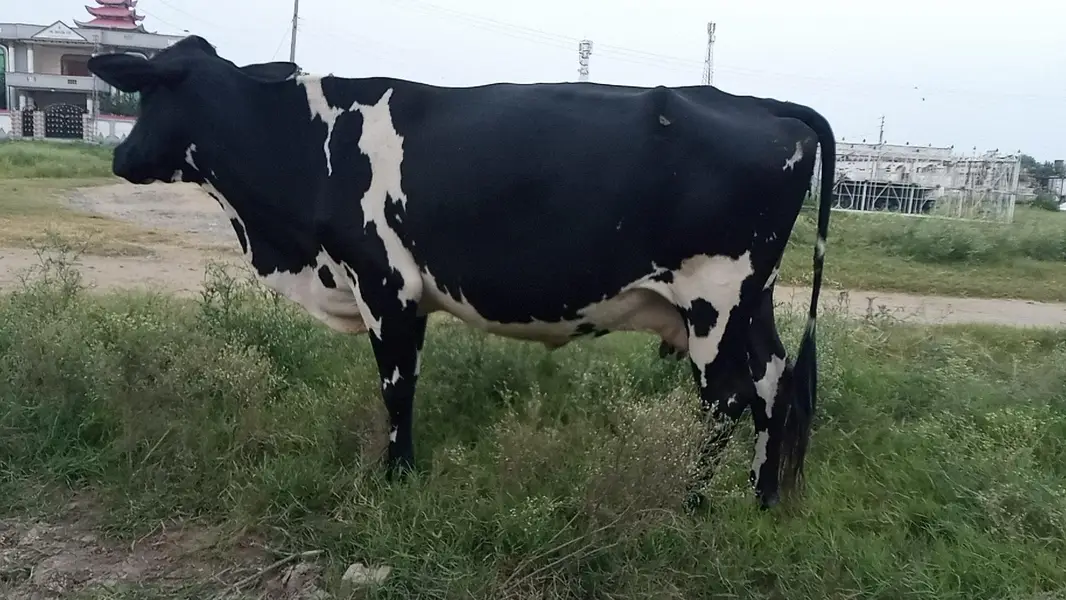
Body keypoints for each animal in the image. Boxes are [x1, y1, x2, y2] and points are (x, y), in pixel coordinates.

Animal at [86, 34, 834, 510]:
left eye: (150, 92)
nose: (120, 157)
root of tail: (761, 103)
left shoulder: (385, 283)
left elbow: (396, 388)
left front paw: (395, 478)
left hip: (714, 296)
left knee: (726, 397)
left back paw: (693, 501)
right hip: (753, 299)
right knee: (773, 380)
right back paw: (761, 497)